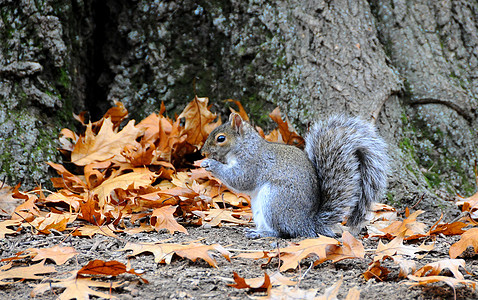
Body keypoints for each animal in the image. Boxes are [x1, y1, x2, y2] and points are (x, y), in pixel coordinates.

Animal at [200, 112, 386, 239]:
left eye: (221, 138)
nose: (203, 152)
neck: (245, 146)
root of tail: (307, 224)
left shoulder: (252, 163)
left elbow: (240, 179)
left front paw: (211, 164)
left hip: (275, 201)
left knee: (282, 232)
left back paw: (262, 234)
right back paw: (257, 230)